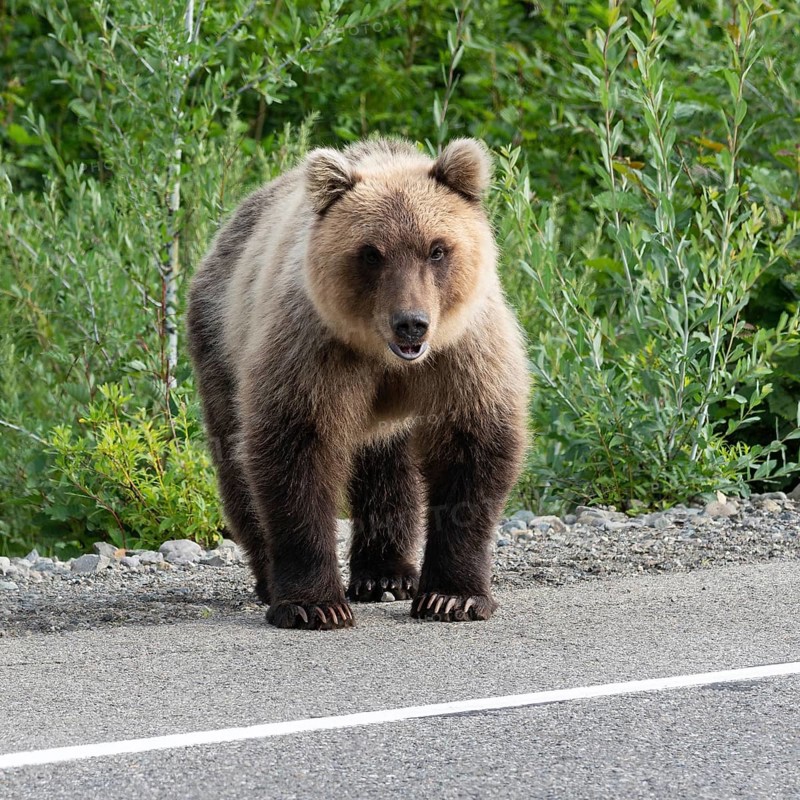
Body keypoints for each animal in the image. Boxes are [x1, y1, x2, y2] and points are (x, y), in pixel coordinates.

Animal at [186, 137, 529, 629]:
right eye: (371, 252)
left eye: (437, 249)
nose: (412, 324)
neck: (384, 357)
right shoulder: (312, 351)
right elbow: (297, 450)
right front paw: (314, 605)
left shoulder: (463, 355)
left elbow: (472, 448)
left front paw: (452, 598)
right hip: (221, 341)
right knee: (235, 458)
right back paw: (271, 578)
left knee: (388, 466)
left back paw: (386, 574)